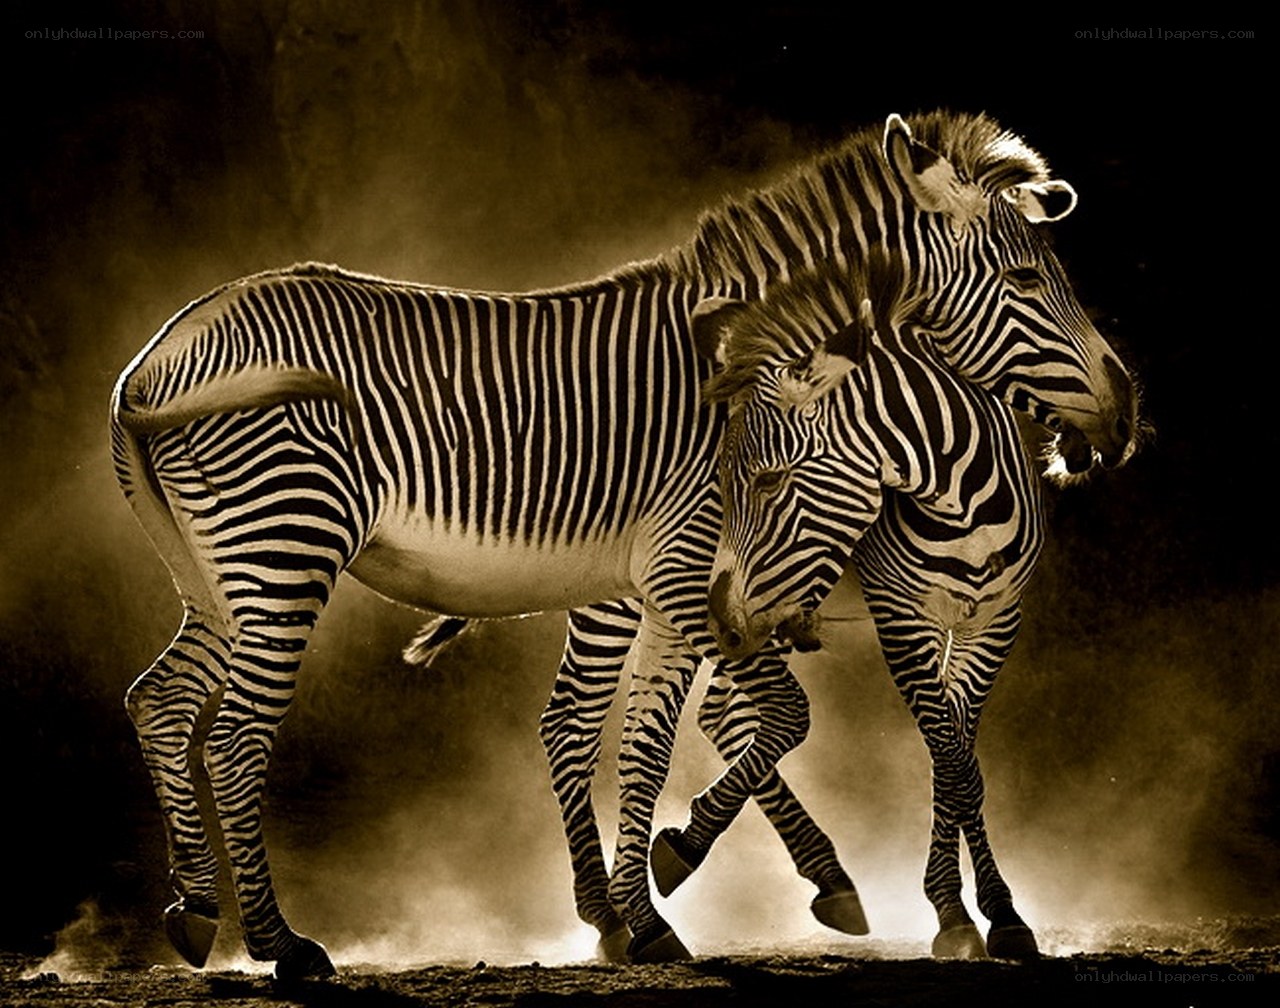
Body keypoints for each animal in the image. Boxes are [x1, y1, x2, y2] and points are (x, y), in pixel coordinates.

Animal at [693, 248, 1131, 959]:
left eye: (767, 481)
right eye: (732, 487)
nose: (725, 623)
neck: (960, 498)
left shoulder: (995, 624)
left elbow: (958, 760)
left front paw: (998, 912)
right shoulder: (900, 620)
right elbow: (949, 757)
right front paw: (956, 914)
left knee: (720, 711)